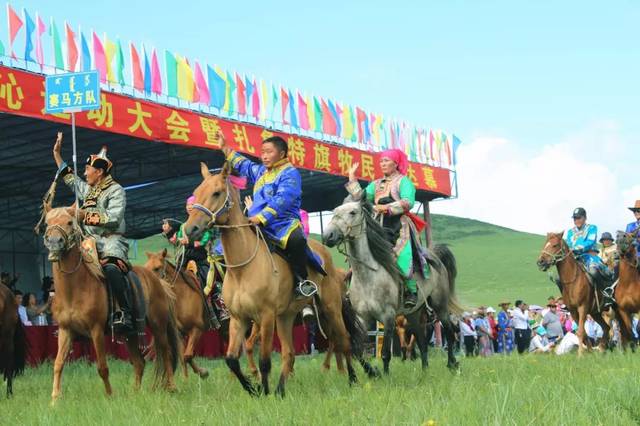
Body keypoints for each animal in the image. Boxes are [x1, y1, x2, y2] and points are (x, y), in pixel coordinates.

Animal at [42, 205, 182, 402]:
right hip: (130, 334)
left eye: (69, 222)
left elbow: (102, 367)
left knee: (166, 353)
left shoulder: (97, 330)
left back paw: (172, 387)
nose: (54, 242)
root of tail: (159, 282)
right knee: (139, 362)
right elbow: (58, 363)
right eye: (47, 223)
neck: (75, 288)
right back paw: (135, 393)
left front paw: (109, 396)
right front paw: (55, 399)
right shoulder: (65, 330)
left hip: (158, 326)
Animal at [182, 164, 368, 400]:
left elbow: (264, 361)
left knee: (343, 341)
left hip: (330, 308)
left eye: (216, 193)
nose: (190, 229)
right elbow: (231, 359)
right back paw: (280, 390)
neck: (243, 269)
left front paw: (264, 391)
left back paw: (352, 380)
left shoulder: (266, 317)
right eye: (197, 191)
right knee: (290, 353)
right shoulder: (238, 319)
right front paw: (253, 389)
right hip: (286, 316)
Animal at [322, 200, 462, 372]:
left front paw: (385, 375)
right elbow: (357, 350)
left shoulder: (388, 317)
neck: (368, 276)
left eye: (353, 212)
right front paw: (372, 372)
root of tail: (435, 257)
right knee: (422, 341)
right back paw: (424, 370)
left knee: (449, 331)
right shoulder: (363, 317)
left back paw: (452, 364)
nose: (328, 235)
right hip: (414, 314)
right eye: (334, 212)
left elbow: (385, 353)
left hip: (439, 305)